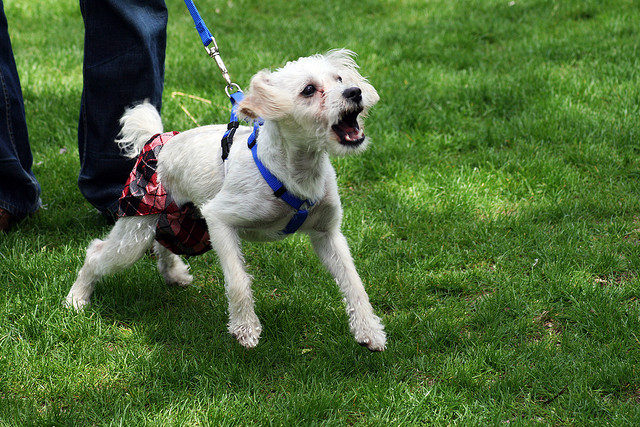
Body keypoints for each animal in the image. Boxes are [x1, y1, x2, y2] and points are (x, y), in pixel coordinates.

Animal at [66, 49, 384, 352]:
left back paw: (173, 273)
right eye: (308, 89)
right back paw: (76, 299)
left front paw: (369, 330)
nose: (355, 92)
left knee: (162, 243)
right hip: (136, 229)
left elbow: (353, 280)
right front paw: (246, 329)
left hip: (182, 225)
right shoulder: (219, 220)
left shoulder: (327, 233)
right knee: (95, 253)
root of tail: (156, 139)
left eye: (340, 79)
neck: (295, 174)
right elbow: (238, 280)